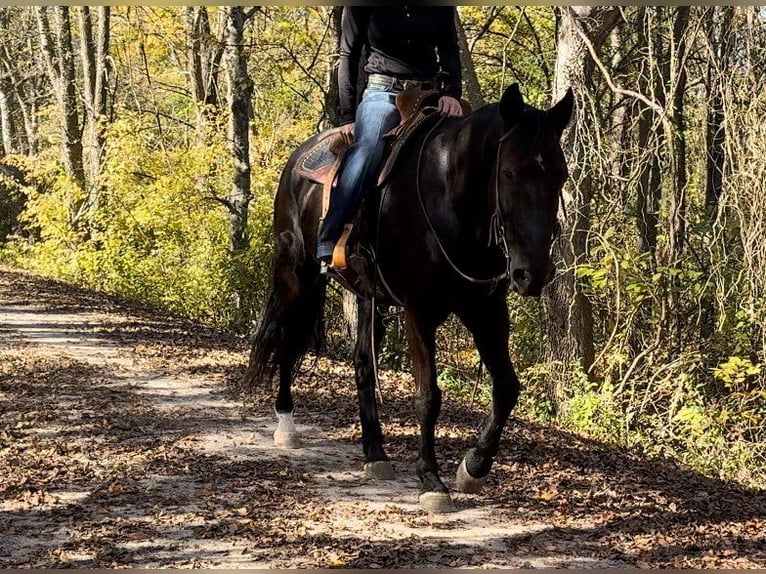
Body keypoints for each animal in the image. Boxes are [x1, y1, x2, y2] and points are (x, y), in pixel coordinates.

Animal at [249, 84, 572, 512]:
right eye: (508, 172)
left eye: (560, 174)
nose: (532, 273)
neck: (450, 197)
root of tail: (298, 159)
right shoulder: (419, 311)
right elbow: (428, 396)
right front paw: (431, 480)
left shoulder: (486, 311)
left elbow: (506, 387)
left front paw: (473, 467)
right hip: (296, 274)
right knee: (288, 341)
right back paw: (286, 425)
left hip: (368, 297)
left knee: (362, 364)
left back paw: (375, 453)